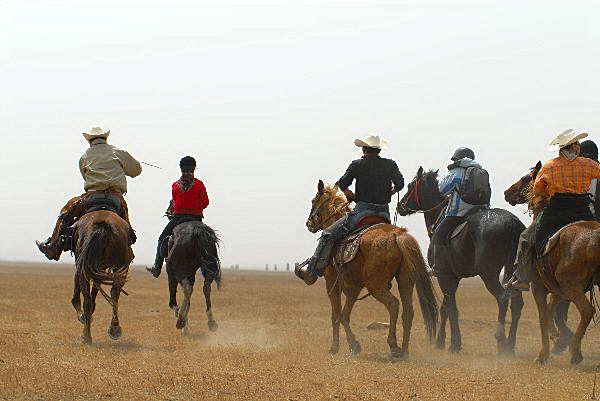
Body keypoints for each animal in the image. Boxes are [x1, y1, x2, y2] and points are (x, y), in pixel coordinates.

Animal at [69, 209, 134, 344]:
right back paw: (114, 328)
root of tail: (103, 225)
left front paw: (83, 316)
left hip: (87, 265)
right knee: (114, 294)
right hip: (118, 266)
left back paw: (86, 335)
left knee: (88, 300)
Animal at [304, 180, 436, 358]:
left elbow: (336, 315)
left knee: (393, 304)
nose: (309, 223)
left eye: (313, 201)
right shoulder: (353, 286)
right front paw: (353, 345)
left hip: (376, 285)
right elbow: (345, 315)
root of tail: (398, 235)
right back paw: (404, 351)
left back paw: (394, 346)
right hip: (405, 281)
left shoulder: (332, 283)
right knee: (408, 310)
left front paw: (335, 347)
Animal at [504, 161, 600, 364]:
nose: (507, 192)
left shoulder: (538, 287)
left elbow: (543, 315)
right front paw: (557, 338)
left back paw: (575, 352)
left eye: (526, 178)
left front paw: (543, 355)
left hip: (570, 285)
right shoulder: (557, 290)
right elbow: (551, 311)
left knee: (587, 311)